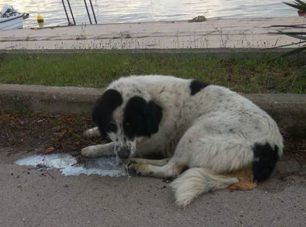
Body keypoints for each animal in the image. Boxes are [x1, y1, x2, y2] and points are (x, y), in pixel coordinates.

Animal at [80, 75, 284, 207]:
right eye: (111, 125)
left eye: (133, 126)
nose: (123, 154)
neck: (153, 98)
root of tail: (270, 150)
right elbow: (111, 139)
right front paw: (92, 131)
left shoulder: (149, 141)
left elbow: (111, 146)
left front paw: (93, 149)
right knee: (172, 160)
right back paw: (135, 162)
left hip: (198, 130)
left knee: (172, 168)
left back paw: (142, 166)